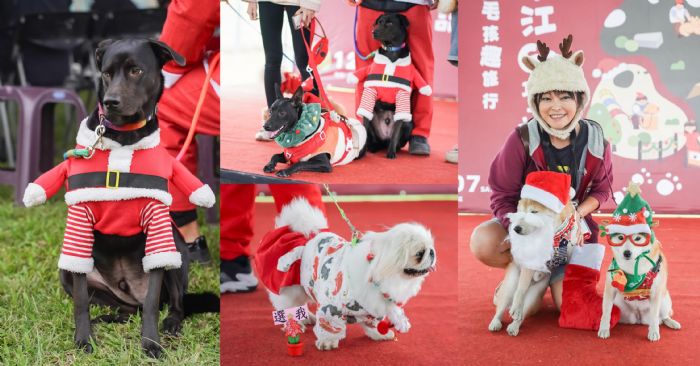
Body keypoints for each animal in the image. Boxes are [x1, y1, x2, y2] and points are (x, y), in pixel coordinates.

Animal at [59, 39, 220, 358]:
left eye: (136, 70)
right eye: (106, 73)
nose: (111, 101)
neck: (123, 141)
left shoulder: (157, 225)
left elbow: (151, 306)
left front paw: (151, 344)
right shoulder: (80, 222)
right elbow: (81, 301)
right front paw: (83, 340)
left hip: (176, 250)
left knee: (169, 304)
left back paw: (171, 324)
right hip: (67, 273)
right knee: (126, 309)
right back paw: (107, 319)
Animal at [266, 199, 434, 350]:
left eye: (431, 247)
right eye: (419, 254)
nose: (432, 253)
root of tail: (305, 238)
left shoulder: (372, 308)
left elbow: (372, 325)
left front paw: (379, 335)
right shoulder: (330, 306)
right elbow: (329, 327)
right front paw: (327, 342)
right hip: (292, 291)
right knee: (288, 307)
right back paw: (297, 323)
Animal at [364, 12, 412, 159]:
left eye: (390, 23)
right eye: (379, 22)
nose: (373, 32)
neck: (391, 51)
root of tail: (384, 140)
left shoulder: (402, 96)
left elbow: (395, 134)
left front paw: (391, 153)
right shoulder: (370, 91)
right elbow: (364, 128)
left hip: (408, 123)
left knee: (395, 139)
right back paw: (372, 148)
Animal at [600, 184, 680, 342]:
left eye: (638, 239)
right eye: (620, 237)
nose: (627, 253)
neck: (632, 268)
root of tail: (638, 318)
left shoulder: (656, 292)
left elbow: (655, 317)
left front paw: (653, 332)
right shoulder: (610, 288)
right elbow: (606, 312)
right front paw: (604, 328)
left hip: (664, 300)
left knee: (663, 317)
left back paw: (672, 323)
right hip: (619, 305)